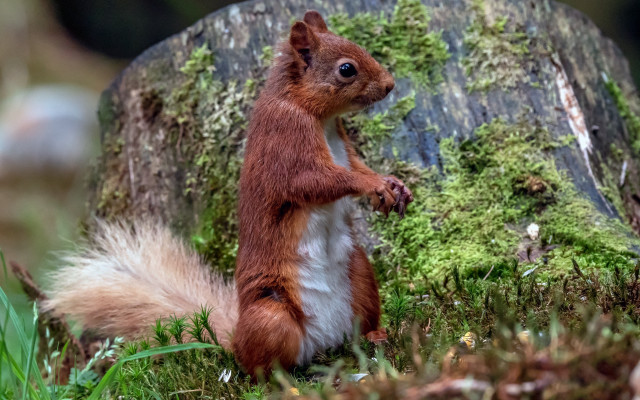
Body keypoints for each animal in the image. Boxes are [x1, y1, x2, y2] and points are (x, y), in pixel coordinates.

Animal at [43, 11, 413, 378]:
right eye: (346, 69)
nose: (390, 84)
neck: (314, 114)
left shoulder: (343, 146)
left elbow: (356, 165)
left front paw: (392, 184)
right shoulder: (285, 142)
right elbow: (315, 182)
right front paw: (373, 186)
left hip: (361, 277)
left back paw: (374, 335)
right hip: (271, 316)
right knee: (257, 363)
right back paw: (282, 376)